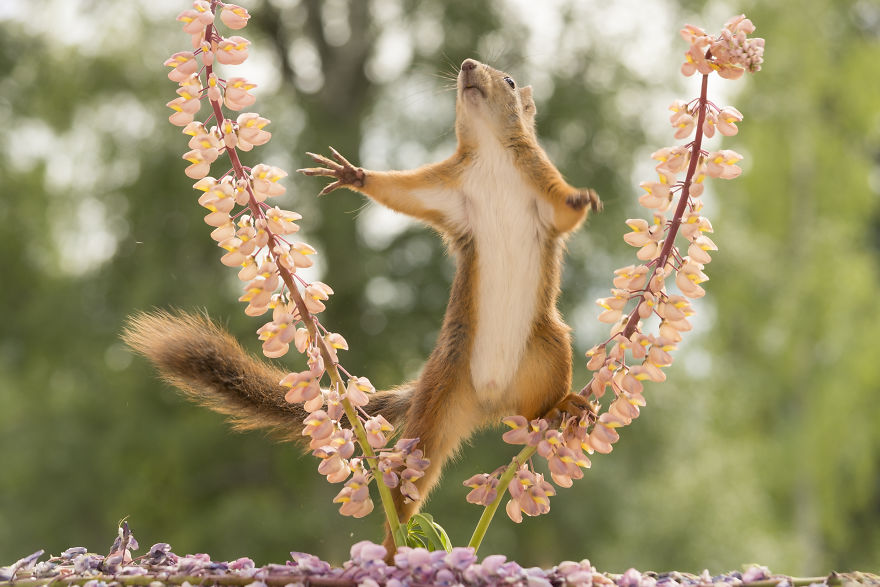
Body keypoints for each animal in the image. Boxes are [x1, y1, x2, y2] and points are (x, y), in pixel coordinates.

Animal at [124, 58, 599, 550]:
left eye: (508, 80)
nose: (468, 66)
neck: (491, 158)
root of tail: (491, 403)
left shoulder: (539, 182)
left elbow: (563, 212)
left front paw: (584, 198)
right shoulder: (448, 192)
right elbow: (403, 191)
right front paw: (352, 174)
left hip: (549, 350)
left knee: (537, 411)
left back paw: (565, 406)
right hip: (438, 401)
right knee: (407, 491)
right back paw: (395, 552)